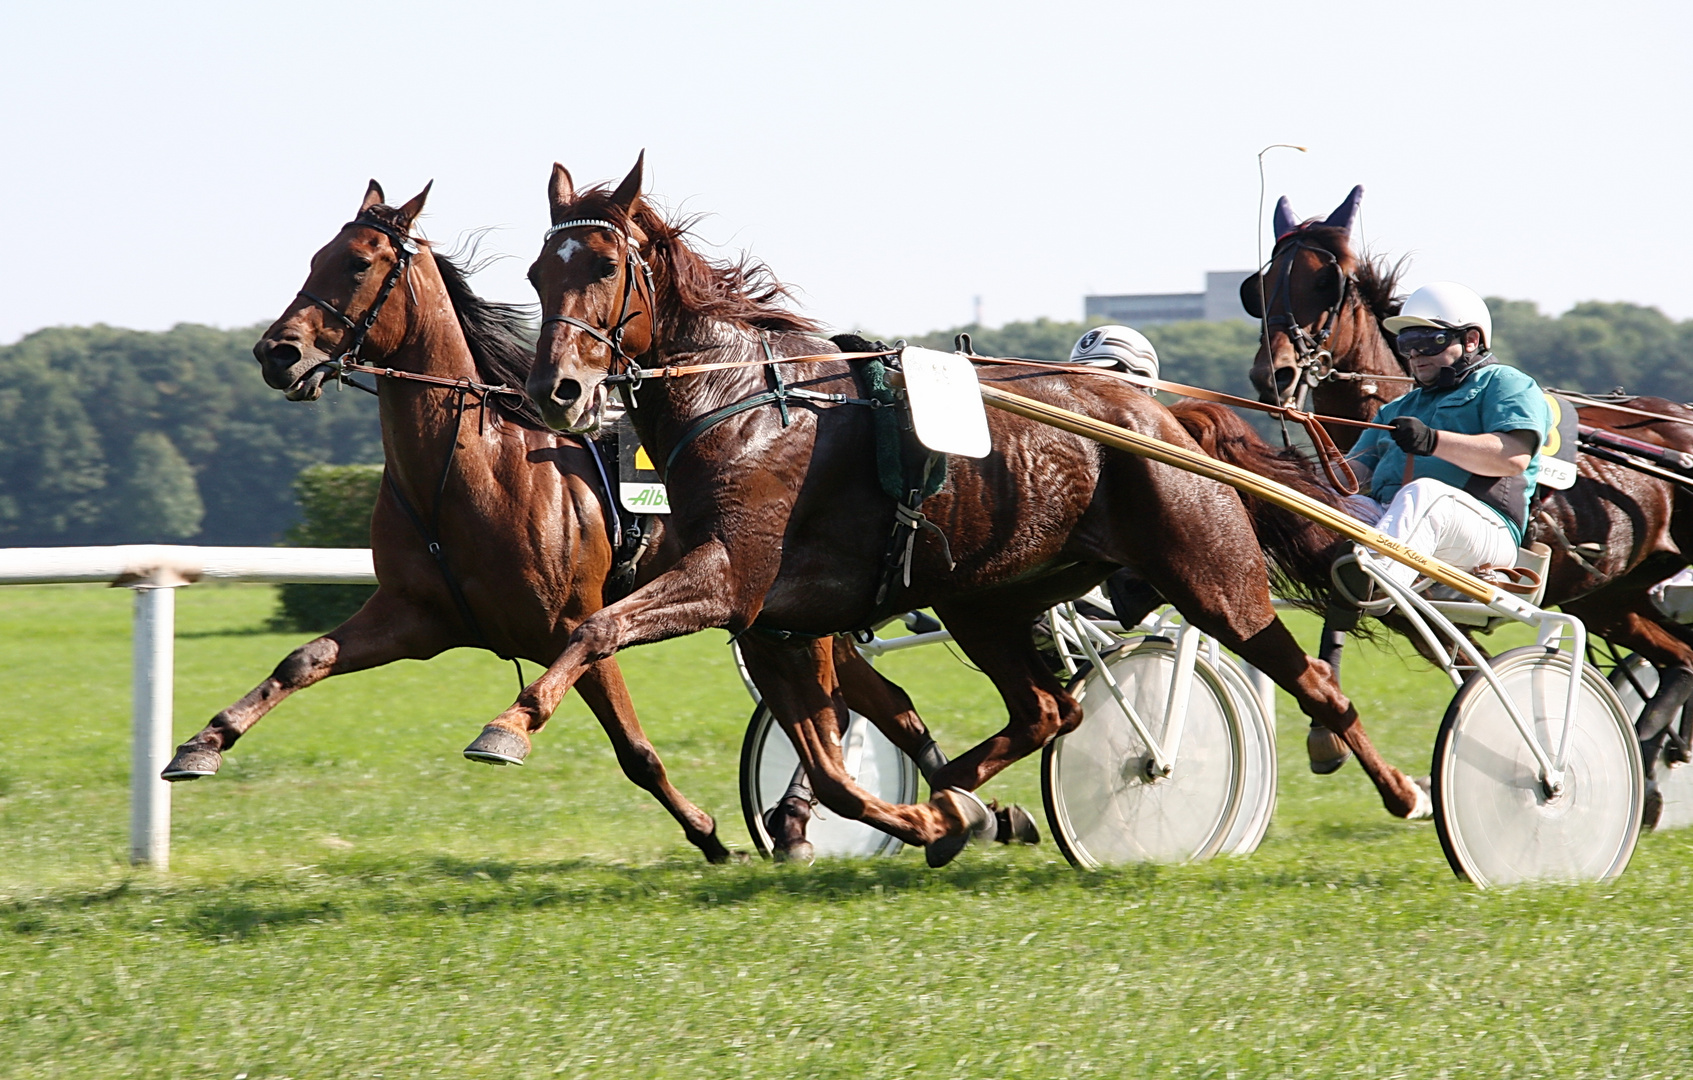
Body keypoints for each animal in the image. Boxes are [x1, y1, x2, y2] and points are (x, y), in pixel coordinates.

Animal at [467, 156, 1442, 866]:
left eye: (602, 265)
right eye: (536, 272)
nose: (555, 390)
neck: (745, 401)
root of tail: (1168, 418)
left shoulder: (727, 580)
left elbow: (594, 628)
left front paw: (508, 725)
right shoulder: (776, 626)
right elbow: (832, 770)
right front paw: (940, 820)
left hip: (1209, 576)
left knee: (1308, 681)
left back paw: (1406, 790)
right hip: (987, 598)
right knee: (1047, 711)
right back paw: (966, 800)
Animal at [1239, 187, 1693, 778]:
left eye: (1326, 282)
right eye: (1260, 287)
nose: (1274, 375)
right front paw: (1327, 731)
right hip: (1613, 596)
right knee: (1683, 657)